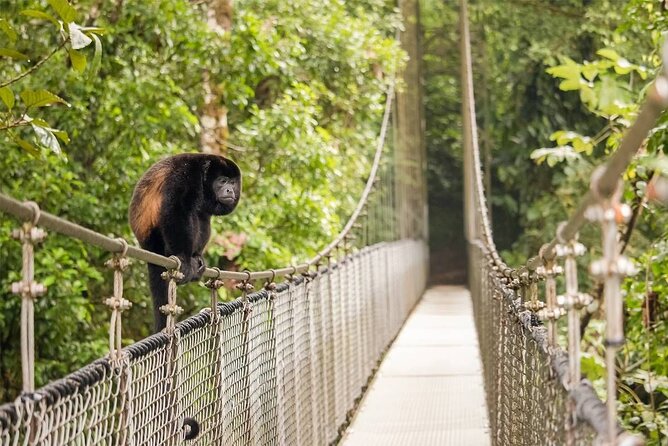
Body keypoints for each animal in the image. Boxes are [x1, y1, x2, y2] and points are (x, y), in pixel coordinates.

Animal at [129, 153, 241, 332]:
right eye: (223, 181)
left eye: (232, 182)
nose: (230, 190)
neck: (203, 177)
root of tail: (146, 245)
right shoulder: (186, 175)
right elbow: (176, 208)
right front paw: (184, 259)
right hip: (156, 238)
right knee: (190, 214)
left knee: (202, 216)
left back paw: (197, 257)